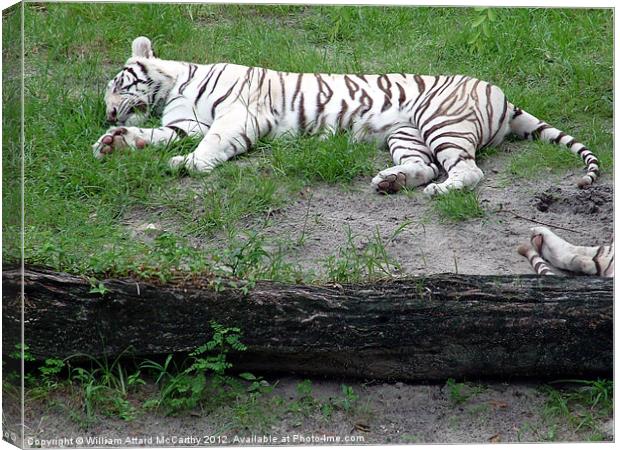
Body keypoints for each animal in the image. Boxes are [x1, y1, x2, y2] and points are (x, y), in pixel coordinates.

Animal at [93, 36, 600, 195]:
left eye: (117, 83)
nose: (107, 114)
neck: (175, 85)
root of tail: (503, 95)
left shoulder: (239, 114)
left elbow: (212, 142)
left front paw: (189, 164)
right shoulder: (185, 121)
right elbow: (164, 134)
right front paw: (114, 143)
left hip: (441, 122)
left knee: (468, 172)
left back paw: (441, 190)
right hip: (406, 134)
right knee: (423, 165)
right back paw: (392, 181)